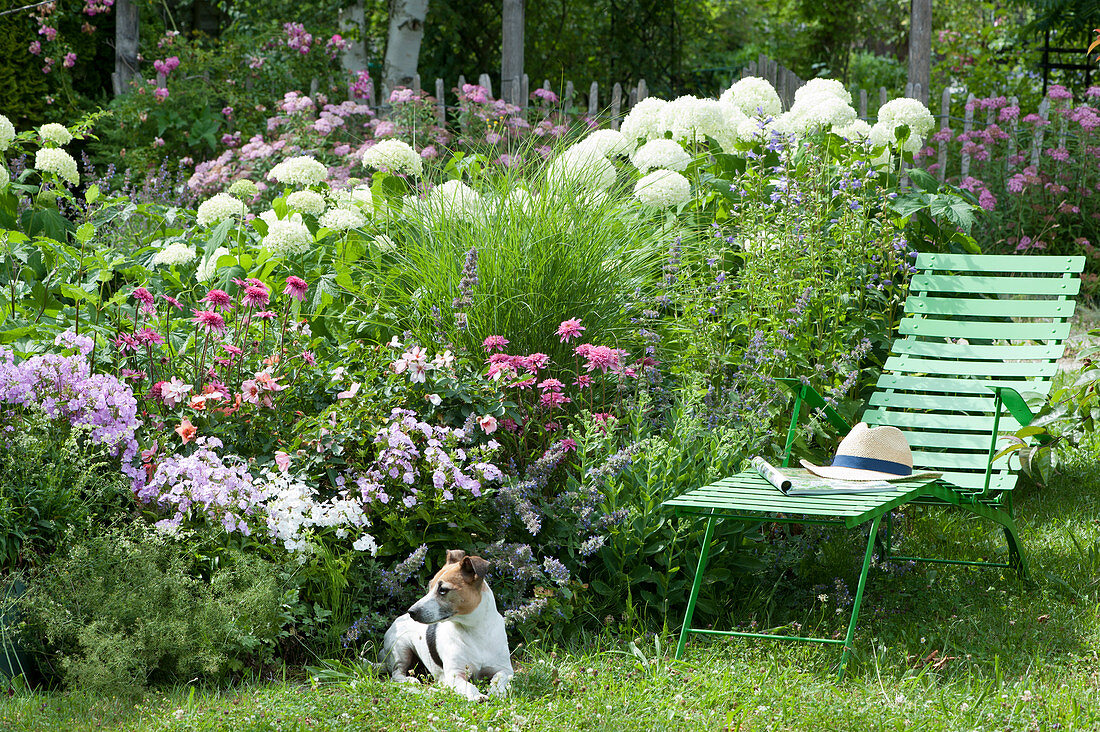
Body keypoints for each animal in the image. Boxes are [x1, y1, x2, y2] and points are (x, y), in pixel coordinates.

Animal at [380, 548, 512, 695]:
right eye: (429, 586)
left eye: (443, 590)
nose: (411, 611)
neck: (475, 630)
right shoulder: (455, 675)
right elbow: (469, 686)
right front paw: (478, 696)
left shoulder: (505, 669)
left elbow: (499, 678)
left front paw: (497, 692)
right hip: (401, 648)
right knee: (396, 673)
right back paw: (410, 680)